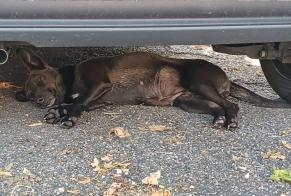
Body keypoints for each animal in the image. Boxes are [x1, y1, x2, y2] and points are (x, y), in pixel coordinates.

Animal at [14, 48, 290, 129]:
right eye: (29, 95)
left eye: (40, 81)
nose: (38, 101)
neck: (72, 77)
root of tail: (227, 78)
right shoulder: (100, 99)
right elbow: (74, 102)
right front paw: (57, 111)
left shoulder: (98, 85)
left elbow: (77, 102)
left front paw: (67, 116)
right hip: (188, 101)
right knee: (218, 107)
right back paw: (219, 119)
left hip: (199, 83)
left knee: (232, 105)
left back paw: (230, 121)